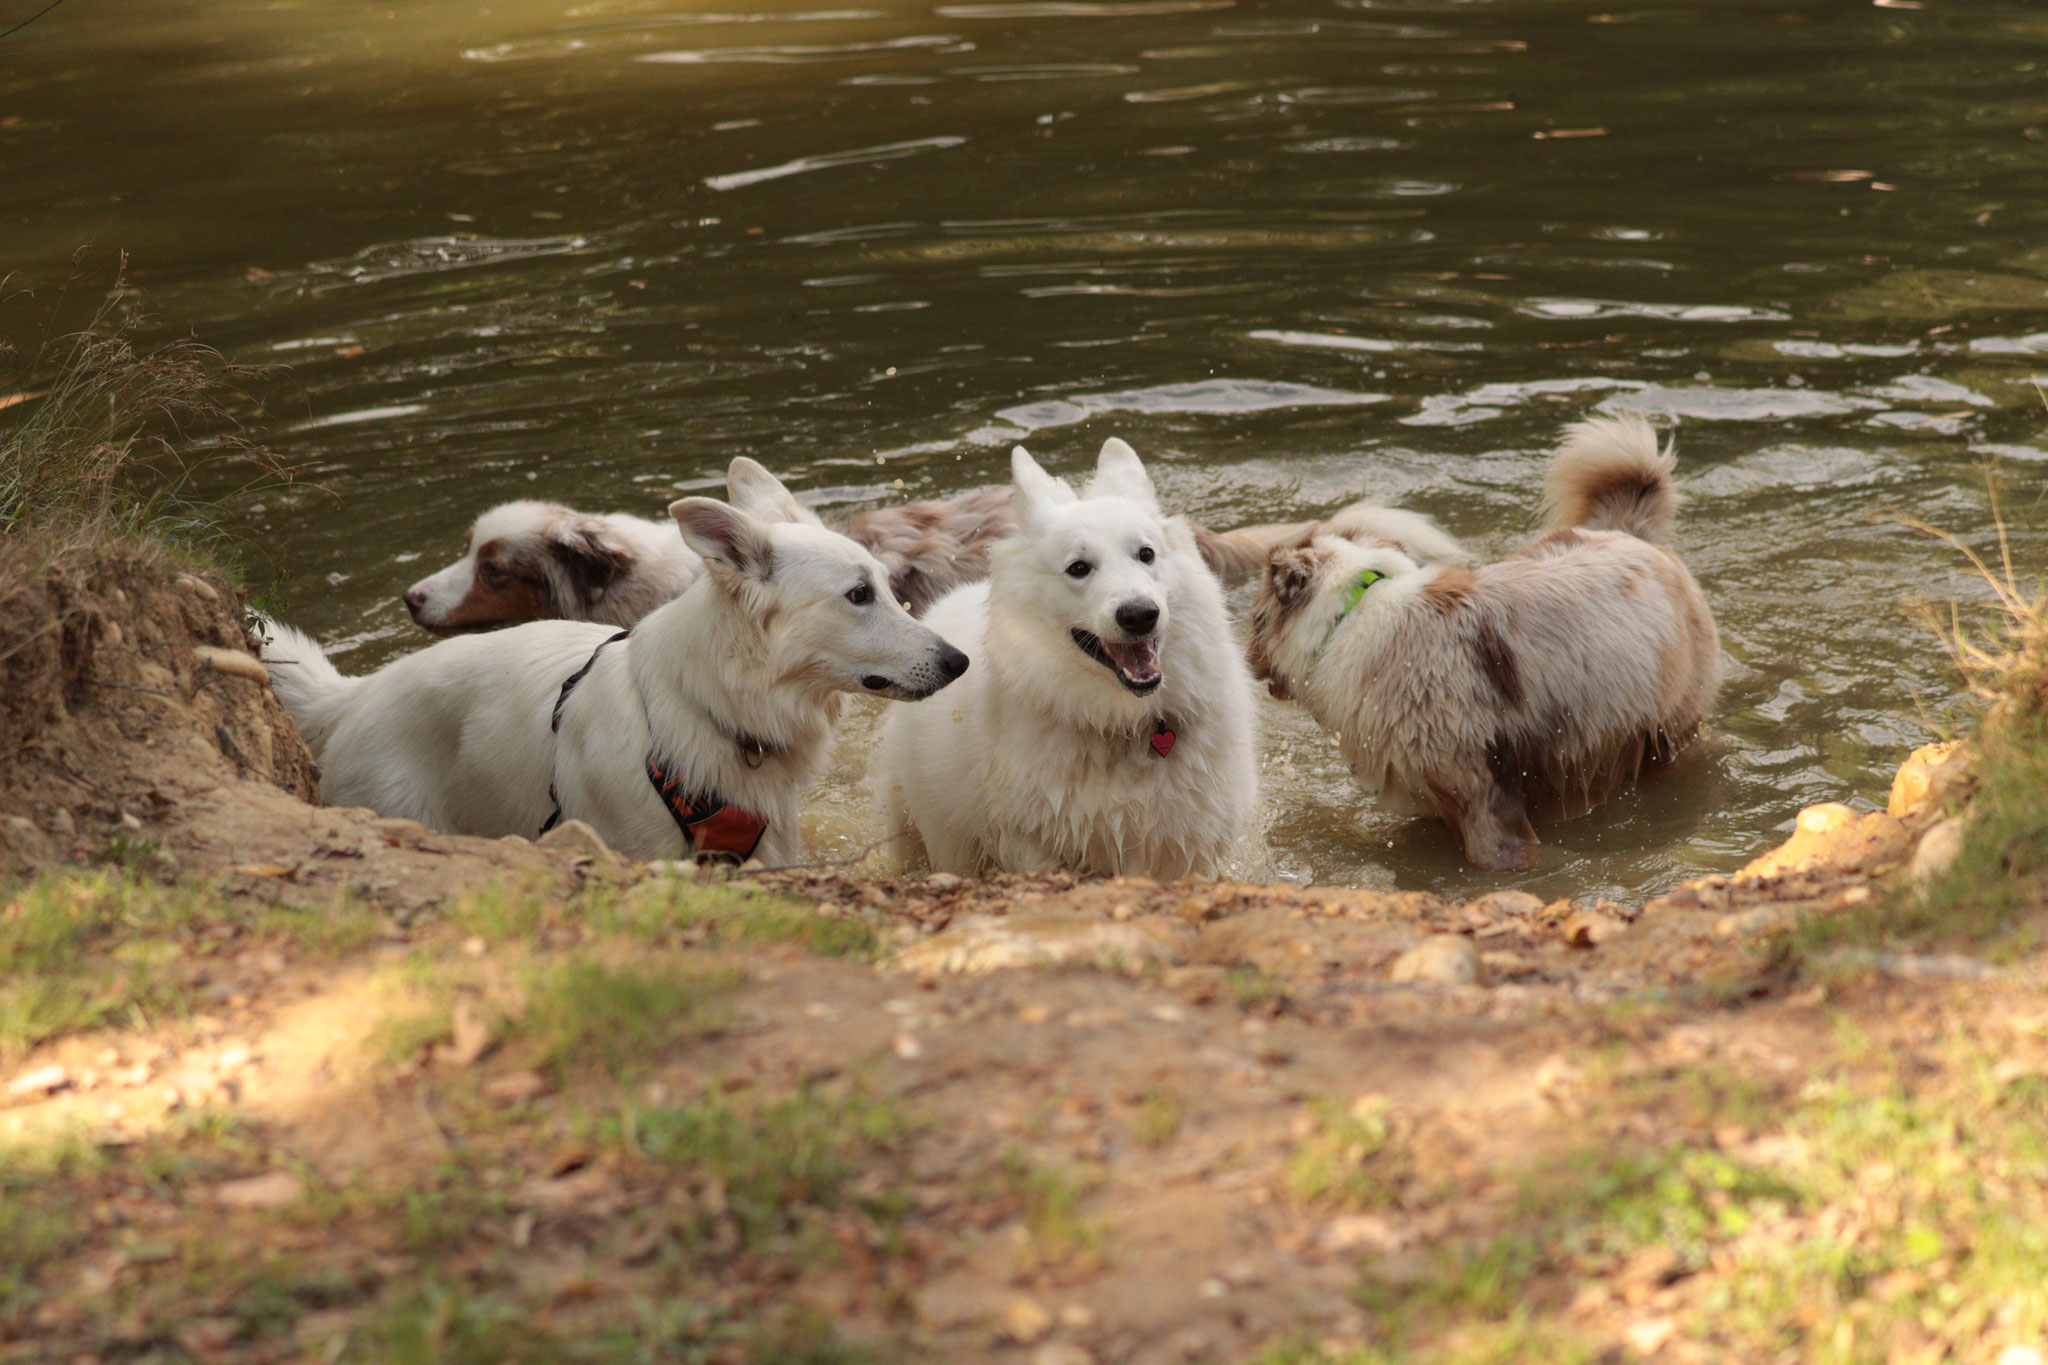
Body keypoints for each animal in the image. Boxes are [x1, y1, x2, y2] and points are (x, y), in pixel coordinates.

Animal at [872, 444, 1253, 879]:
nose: (1139, 614)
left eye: (1146, 554)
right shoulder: (1030, 842)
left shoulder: (1188, 848)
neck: (1123, 726)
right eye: (1079, 568)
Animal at [1236, 411, 1720, 871]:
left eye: (1255, 618)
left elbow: (1492, 852)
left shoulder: (1476, 789)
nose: (1243, 660)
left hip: (1669, 726)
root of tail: (1631, 532)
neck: (1350, 613)